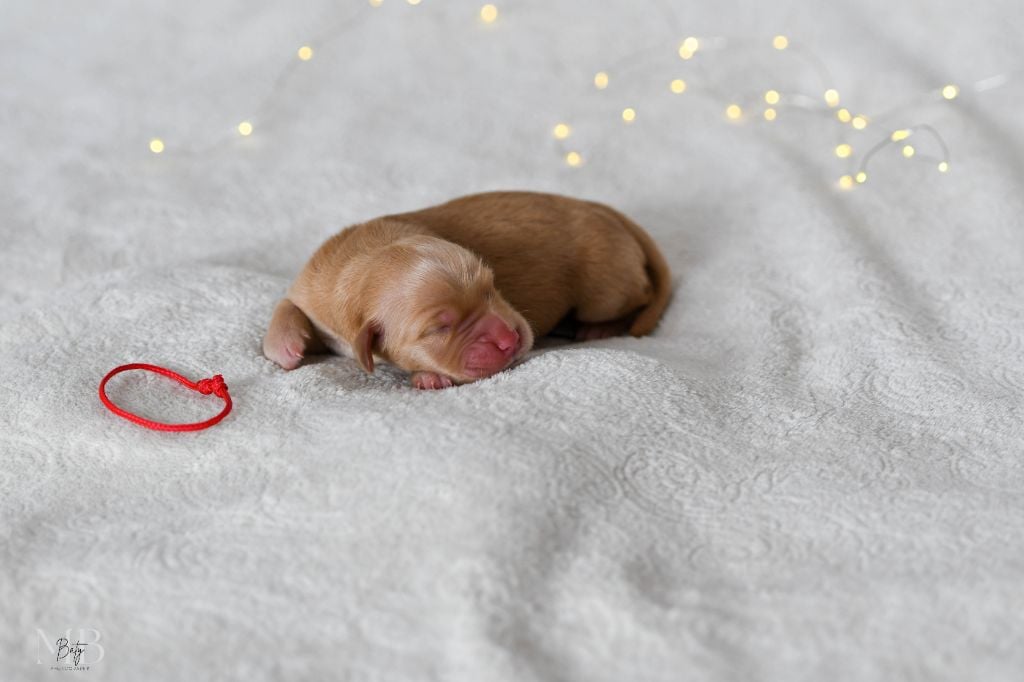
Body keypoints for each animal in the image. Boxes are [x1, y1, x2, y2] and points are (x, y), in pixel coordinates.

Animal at [264, 191, 671, 387]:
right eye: (439, 328)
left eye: (492, 287)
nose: (510, 339)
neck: (368, 260)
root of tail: (603, 209)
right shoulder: (316, 287)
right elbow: (287, 303)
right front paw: (285, 344)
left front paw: (427, 376)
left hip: (605, 290)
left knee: (642, 294)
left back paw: (599, 328)